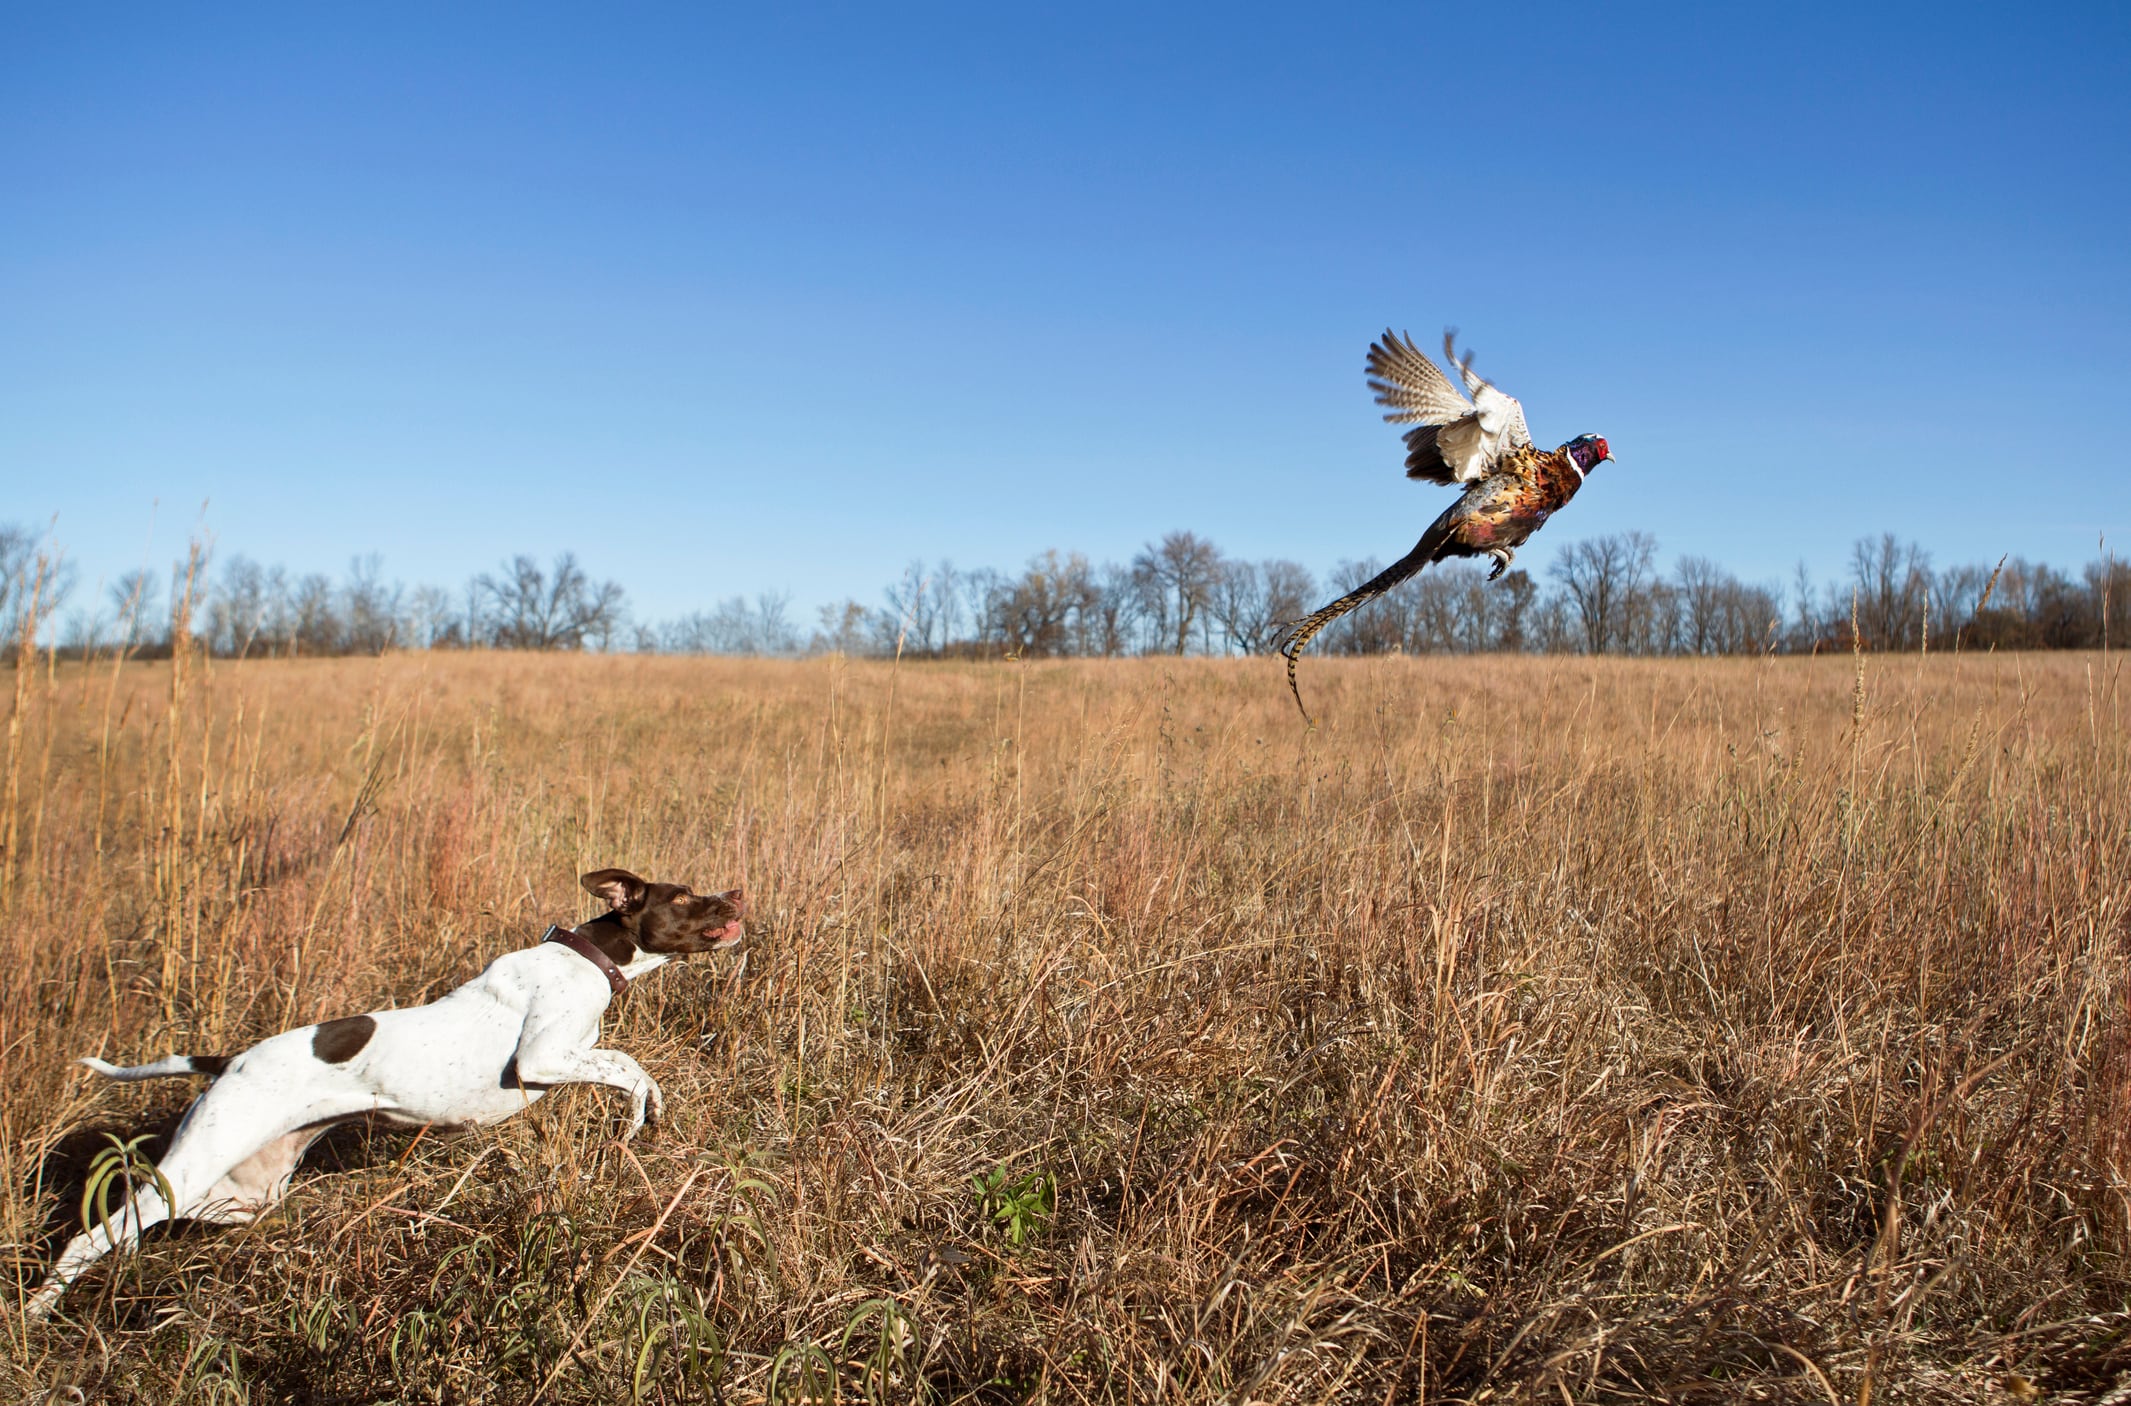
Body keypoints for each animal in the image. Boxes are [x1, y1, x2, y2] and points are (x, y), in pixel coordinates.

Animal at [20, 869, 741, 1320]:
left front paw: (641, 1118)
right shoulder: (539, 1060)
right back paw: (34, 1313)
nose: (736, 894)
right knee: (90, 1236)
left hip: (245, 1191)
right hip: (197, 1160)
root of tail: (230, 1061)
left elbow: (626, 1066)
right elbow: (626, 1064)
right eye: (683, 896)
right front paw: (640, 1111)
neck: (588, 954)